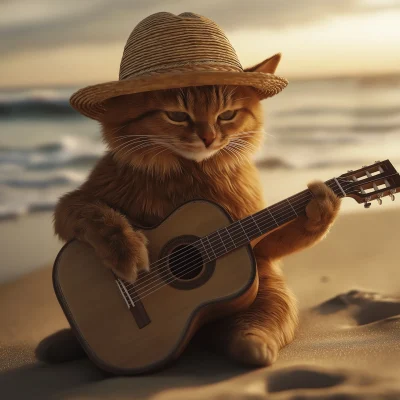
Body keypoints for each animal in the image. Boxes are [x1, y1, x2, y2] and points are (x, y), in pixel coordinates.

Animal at [36, 54, 340, 368]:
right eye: (177, 116)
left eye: (227, 115)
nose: (209, 138)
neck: (190, 171)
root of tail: (199, 340)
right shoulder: (76, 201)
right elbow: (100, 217)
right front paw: (126, 255)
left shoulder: (256, 248)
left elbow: (270, 246)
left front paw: (322, 204)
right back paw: (58, 344)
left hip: (269, 294)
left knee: (257, 324)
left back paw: (253, 346)